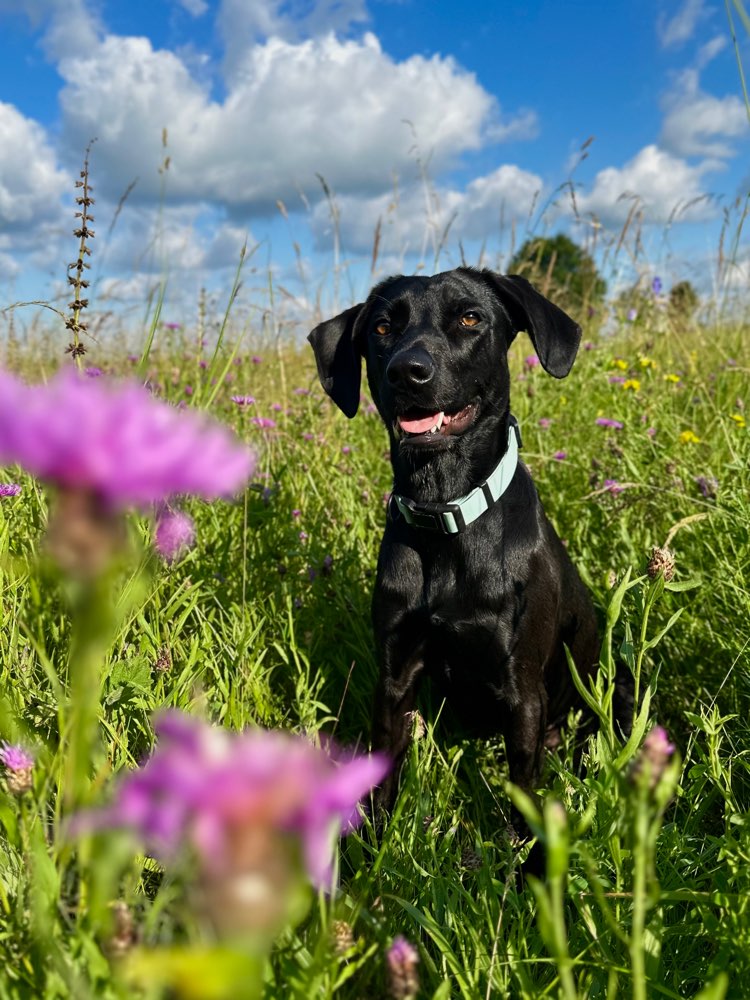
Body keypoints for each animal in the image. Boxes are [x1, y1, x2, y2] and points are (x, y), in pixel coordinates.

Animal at [310, 270, 616, 832]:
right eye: (382, 326)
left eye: (471, 318)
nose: (407, 371)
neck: (444, 513)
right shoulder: (395, 676)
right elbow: (383, 779)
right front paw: (372, 847)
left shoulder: (523, 692)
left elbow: (523, 803)